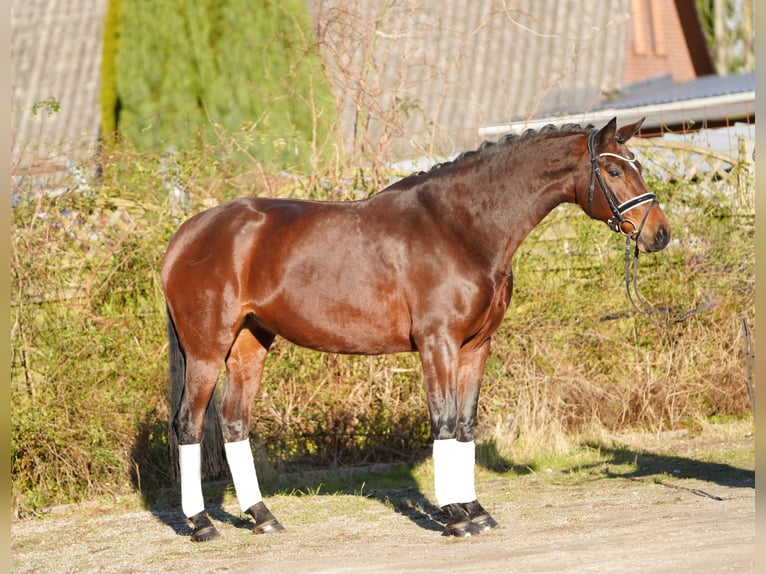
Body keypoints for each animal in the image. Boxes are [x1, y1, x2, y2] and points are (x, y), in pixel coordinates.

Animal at [162, 119, 672, 544]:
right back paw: (201, 524)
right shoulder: (437, 344)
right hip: (207, 349)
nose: (660, 234)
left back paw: (263, 516)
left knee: (234, 422)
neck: (460, 227)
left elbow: (465, 425)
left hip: (249, 344)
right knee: (189, 424)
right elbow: (443, 421)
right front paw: (454, 517)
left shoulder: (475, 347)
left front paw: (475, 510)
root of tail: (186, 234)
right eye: (612, 169)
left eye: (638, 164)